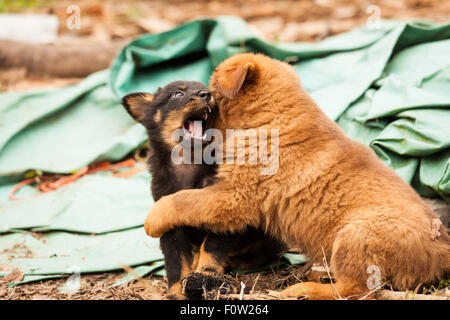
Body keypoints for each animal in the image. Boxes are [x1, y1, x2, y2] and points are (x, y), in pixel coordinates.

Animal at [122, 80, 284, 300]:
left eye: (206, 89)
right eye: (177, 94)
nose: (206, 94)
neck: (190, 161)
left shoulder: (222, 211)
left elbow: (212, 248)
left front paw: (206, 275)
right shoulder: (168, 223)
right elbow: (176, 263)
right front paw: (176, 292)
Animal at [145, 53, 450, 300]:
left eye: (211, 91)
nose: (202, 94)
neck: (271, 117)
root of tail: (441, 251)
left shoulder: (233, 197)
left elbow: (184, 200)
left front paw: (153, 218)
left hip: (355, 235)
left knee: (355, 289)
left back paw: (304, 289)